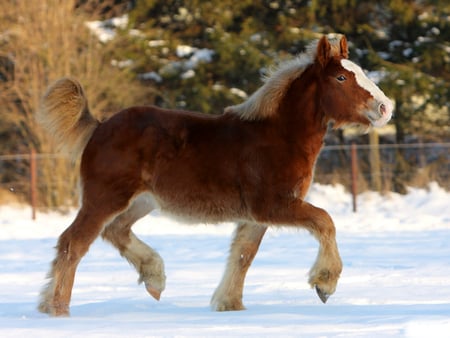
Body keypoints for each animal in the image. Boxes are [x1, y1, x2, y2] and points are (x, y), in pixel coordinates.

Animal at [37, 33, 392, 314]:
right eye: (341, 78)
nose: (386, 108)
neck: (278, 135)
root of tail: (98, 127)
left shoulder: (255, 215)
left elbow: (243, 254)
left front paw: (229, 304)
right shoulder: (272, 205)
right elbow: (324, 221)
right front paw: (324, 284)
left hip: (141, 201)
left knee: (115, 231)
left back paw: (154, 277)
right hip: (105, 197)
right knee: (73, 243)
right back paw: (56, 309)